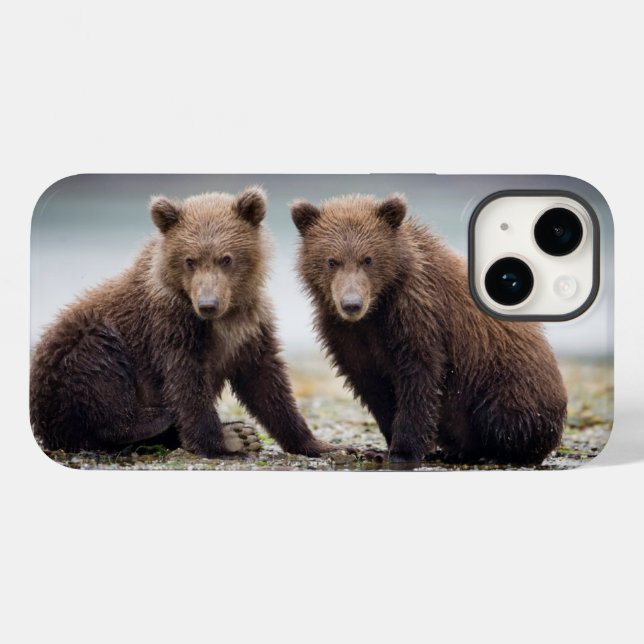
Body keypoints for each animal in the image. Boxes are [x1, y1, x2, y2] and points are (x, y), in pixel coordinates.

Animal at [30, 187, 341, 458]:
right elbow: (186, 382)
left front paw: (319, 444)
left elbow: (266, 382)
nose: (207, 304)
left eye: (226, 258)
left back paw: (239, 435)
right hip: (69, 356)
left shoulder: (249, 326)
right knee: (98, 365)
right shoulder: (170, 326)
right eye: (190, 260)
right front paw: (218, 444)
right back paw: (165, 423)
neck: (222, 318)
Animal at [291, 193, 567, 465]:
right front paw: (381, 447)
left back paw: (494, 453)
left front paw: (402, 450)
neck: (377, 309)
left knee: (505, 417)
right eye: (331, 261)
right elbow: (373, 386)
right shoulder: (345, 334)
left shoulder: (417, 317)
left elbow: (418, 379)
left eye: (368, 259)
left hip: (506, 378)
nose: (351, 304)